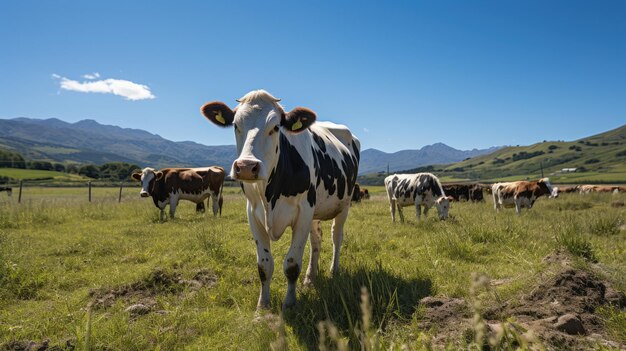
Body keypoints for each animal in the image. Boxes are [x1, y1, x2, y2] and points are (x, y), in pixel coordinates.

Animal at [197, 89, 358, 310]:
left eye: (275, 127)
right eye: (236, 125)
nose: (246, 167)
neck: (269, 195)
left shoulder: (303, 212)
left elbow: (292, 264)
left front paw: (289, 304)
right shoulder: (253, 213)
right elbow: (264, 265)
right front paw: (262, 306)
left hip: (345, 204)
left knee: (337, 237)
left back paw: (334, 271)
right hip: (316, 211)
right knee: (316, 240)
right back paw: (310, 278)